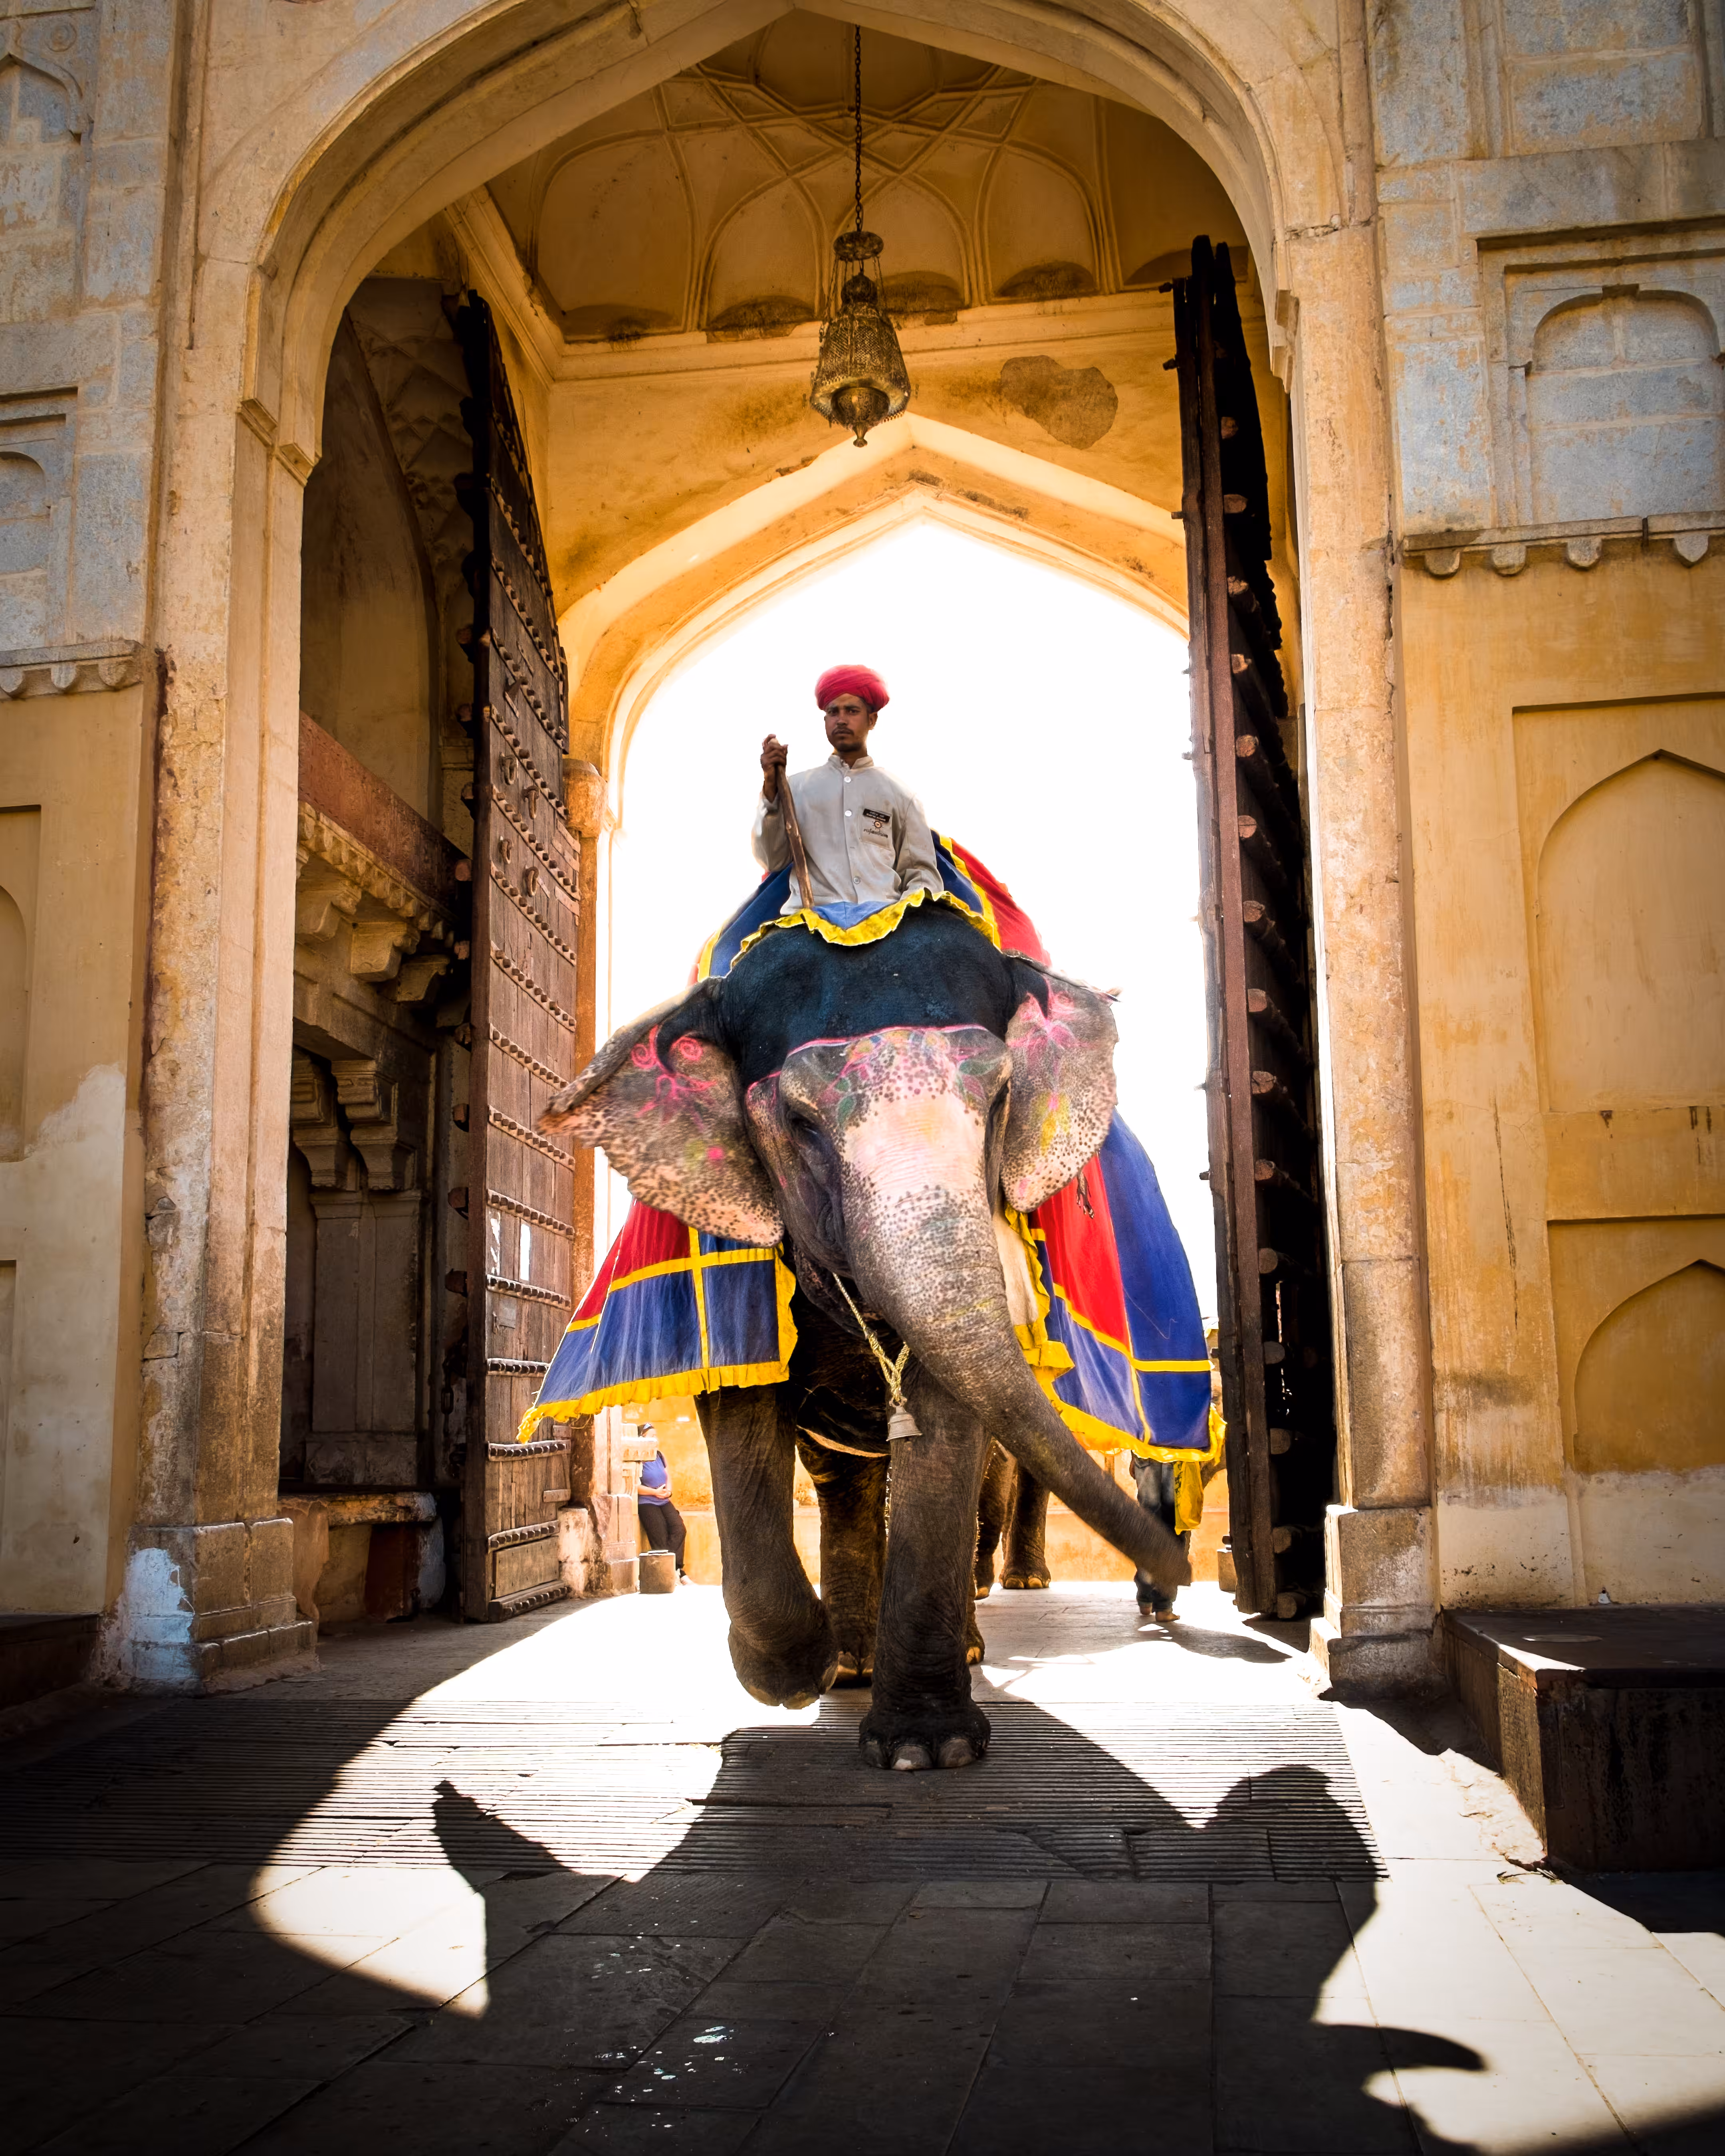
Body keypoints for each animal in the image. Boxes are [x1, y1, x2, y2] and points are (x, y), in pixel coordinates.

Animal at [542, 902, 1189, 1770]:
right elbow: (740, 1411)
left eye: (1003, 1096)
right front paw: (796, 1677)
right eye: (798, 1121)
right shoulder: (727, 1249)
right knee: (844, 1477)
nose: (1172, 1581)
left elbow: (947, 1421)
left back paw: (955, 1646)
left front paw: (926, 1751)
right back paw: (849, 1667)